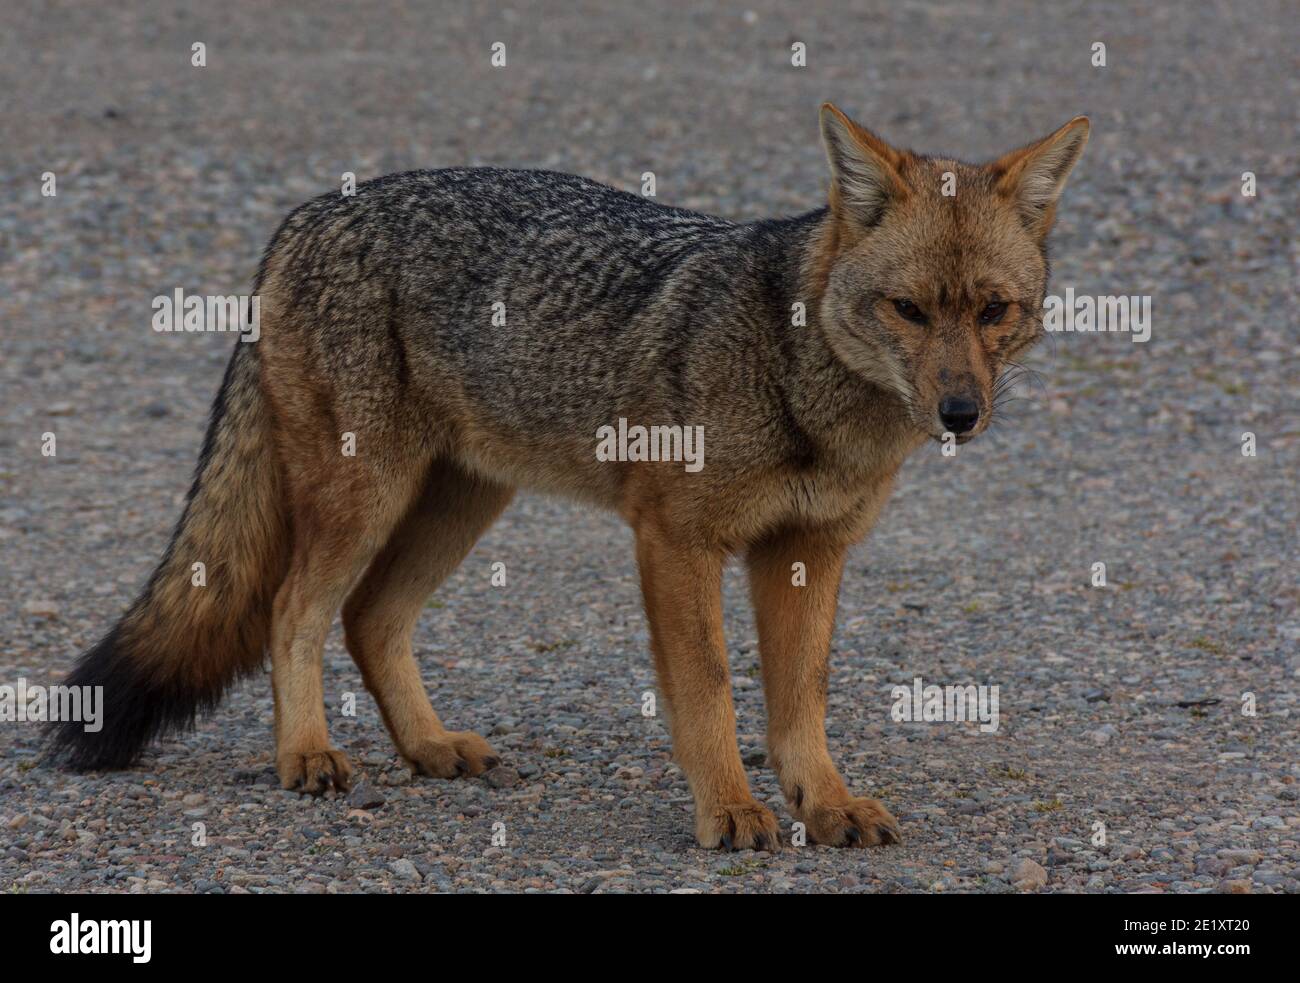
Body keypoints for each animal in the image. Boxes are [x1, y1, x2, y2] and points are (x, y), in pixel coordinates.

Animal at [50, 104, 1089, 851]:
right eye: (909, 310)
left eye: (994, 311)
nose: (961, 412)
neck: (799, 388)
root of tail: (310, 211)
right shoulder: (677, 541)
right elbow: (710, 691)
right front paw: (731, 810)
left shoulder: (808, 552)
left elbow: (803, 702)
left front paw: (824, 802)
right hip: (366, 498)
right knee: (293, 610)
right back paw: (305, 752)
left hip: (461, 501)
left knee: (370, 616)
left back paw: (428, 746)